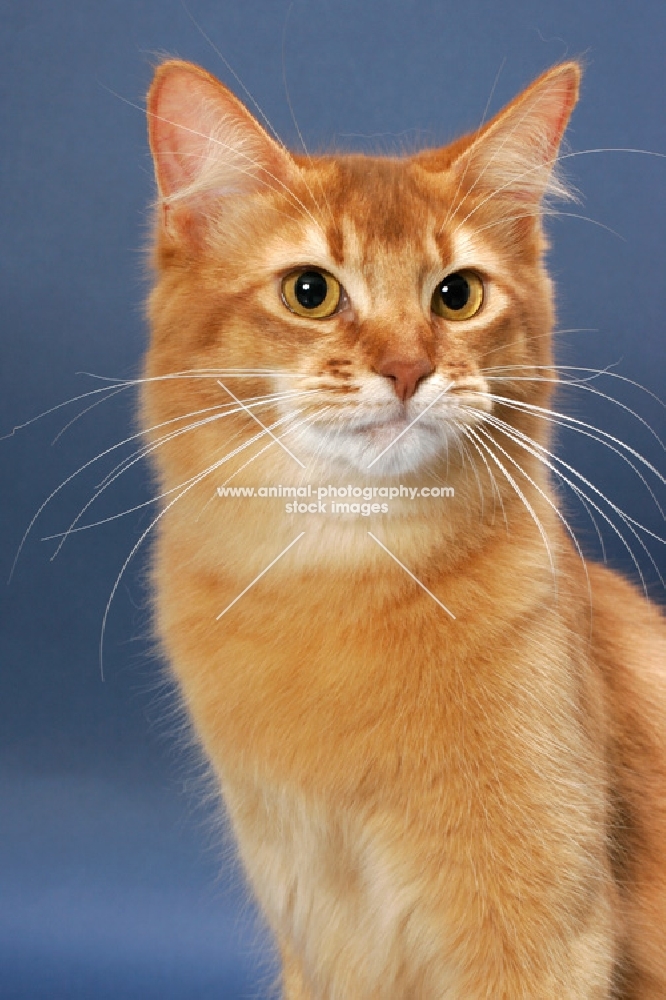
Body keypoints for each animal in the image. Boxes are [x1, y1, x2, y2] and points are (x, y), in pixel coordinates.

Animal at [143, 58, 660, 996]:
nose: (409, 368)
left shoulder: (541, 931)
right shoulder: (318, 933)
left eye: (457, 296)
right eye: (310, 292)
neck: (341, 582)